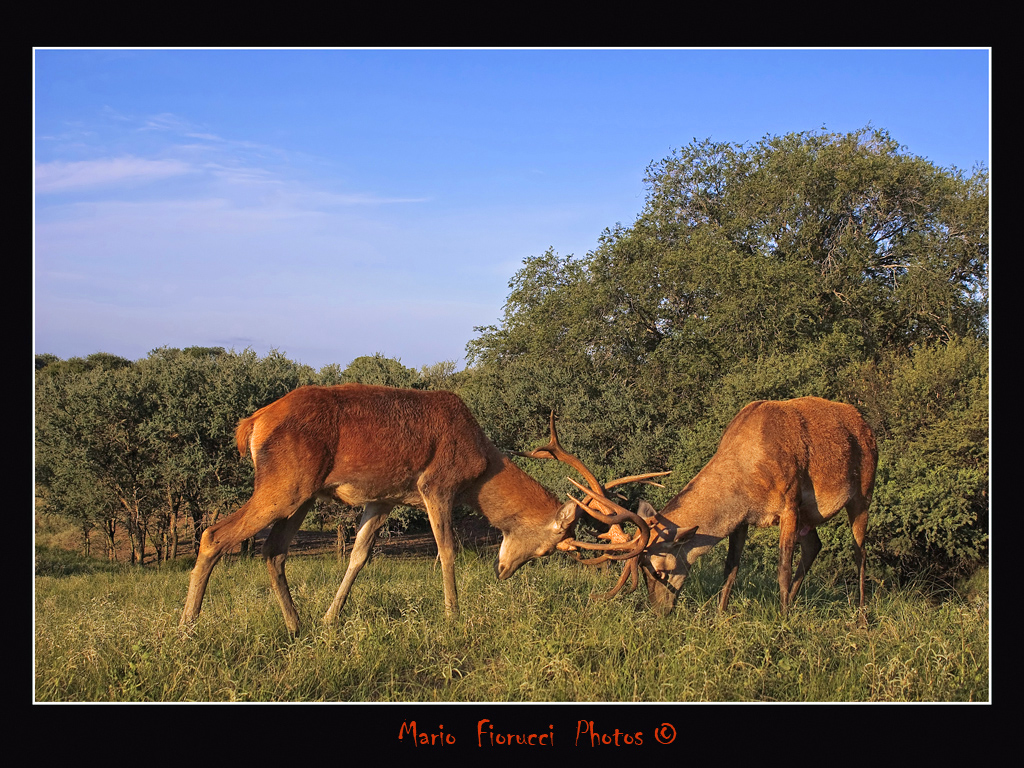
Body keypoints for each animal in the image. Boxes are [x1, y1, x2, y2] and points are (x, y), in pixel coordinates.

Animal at [178, 382, 655, 630]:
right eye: (548, 548)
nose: (503, 571)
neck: (480, 463)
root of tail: (251, 424)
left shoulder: (383, 498)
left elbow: (358, 556)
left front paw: (332, 619)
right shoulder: (436, 485)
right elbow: (447, 551)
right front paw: (453, 617)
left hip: (302, 494)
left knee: (272, 550)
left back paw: (297, 626)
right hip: (284, 485)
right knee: (214, 534)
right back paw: (187, 628)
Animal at [569, 399, 880, 618]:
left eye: (659, 572)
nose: (659, 611)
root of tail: (865, 422)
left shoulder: (790, 503)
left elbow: (782, 567)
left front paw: (783, 620)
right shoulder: (743, 519)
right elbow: (730, 567)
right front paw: (720, 616)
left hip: (863, 491)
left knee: (860, 552)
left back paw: (861, 616)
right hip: (809, 516)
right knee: (815, 545)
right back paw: (794, 601)